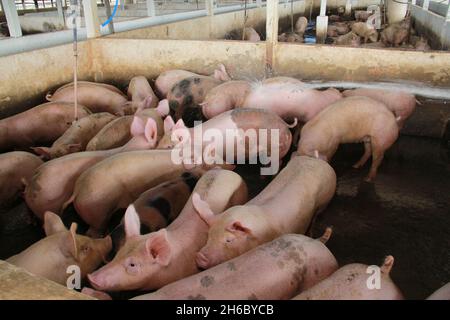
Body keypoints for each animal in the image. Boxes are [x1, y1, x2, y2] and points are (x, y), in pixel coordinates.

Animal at [192, 156, 336, 268]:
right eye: (209, 235)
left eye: (229, 240)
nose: (199, 256)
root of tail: (316, 159)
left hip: (325, 201)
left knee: (316, 216)